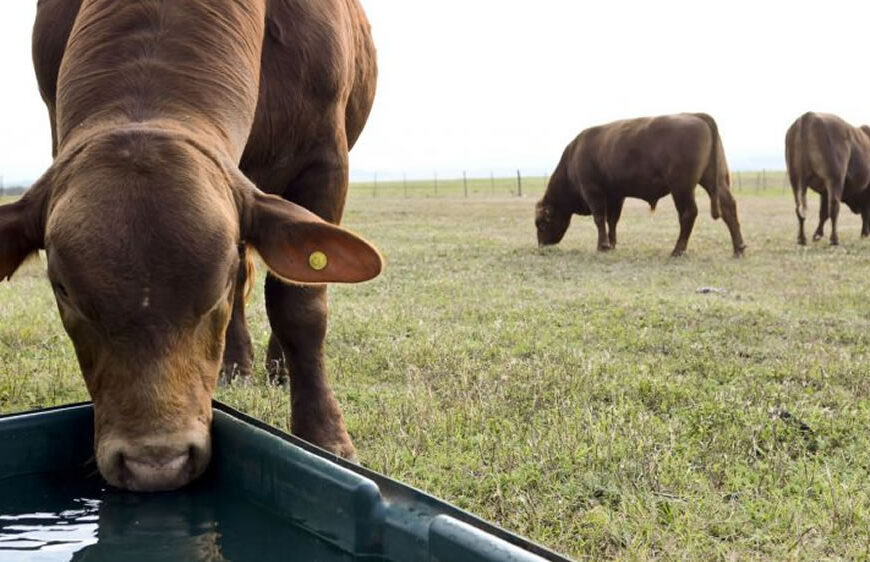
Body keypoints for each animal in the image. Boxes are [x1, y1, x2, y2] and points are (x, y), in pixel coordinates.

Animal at [0, 0, 382, 490]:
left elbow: (300, 306)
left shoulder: (324, 161)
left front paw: (324, 436)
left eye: (214, 285)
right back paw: (237, 366)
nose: (155, 464)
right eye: (63, 290)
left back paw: (278, 369)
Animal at [540, 112, 748, 258]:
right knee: (729, 208)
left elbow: (599, 218)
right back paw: (738, 249)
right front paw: (612, 245)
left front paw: (602, 246)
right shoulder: (616, 196)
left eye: (540, 223)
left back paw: (677, 250)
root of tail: (695, 115)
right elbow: (612, 220)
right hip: (716, 180)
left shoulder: (593, 192)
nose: (541, 245)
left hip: (681, 187)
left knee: (688, 213)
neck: (573, 157)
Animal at [788, 112, 870, 245]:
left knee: (799, 208)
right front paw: (865, 234)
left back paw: (801, 238)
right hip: (834, 179)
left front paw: (817, 235)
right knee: (834, 207)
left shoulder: (824, 192)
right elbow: (865, 213)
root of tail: (809, 116)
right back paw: (834, 239)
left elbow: (823, 213)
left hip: (796, 180)